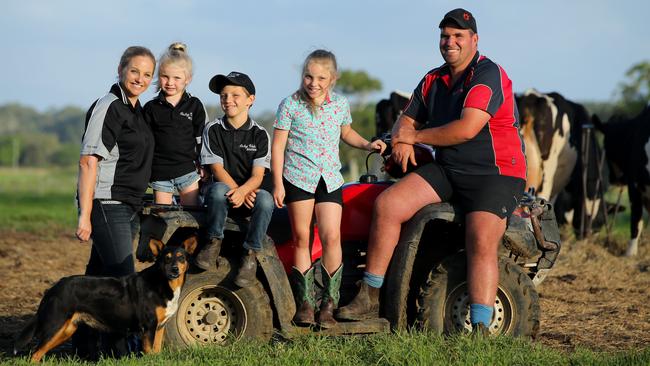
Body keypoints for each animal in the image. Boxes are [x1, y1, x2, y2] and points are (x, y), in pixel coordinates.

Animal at [12, 236, 195, 362]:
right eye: (166, 258)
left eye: (181, 257)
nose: (174, 269)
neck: (163, 282)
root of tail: (53, 288)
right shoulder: (148, 327)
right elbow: (149, 352)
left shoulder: (158, 328)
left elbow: (156, 351)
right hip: (54, 325)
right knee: (34, 354)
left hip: (65, 330)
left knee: (38, 354)